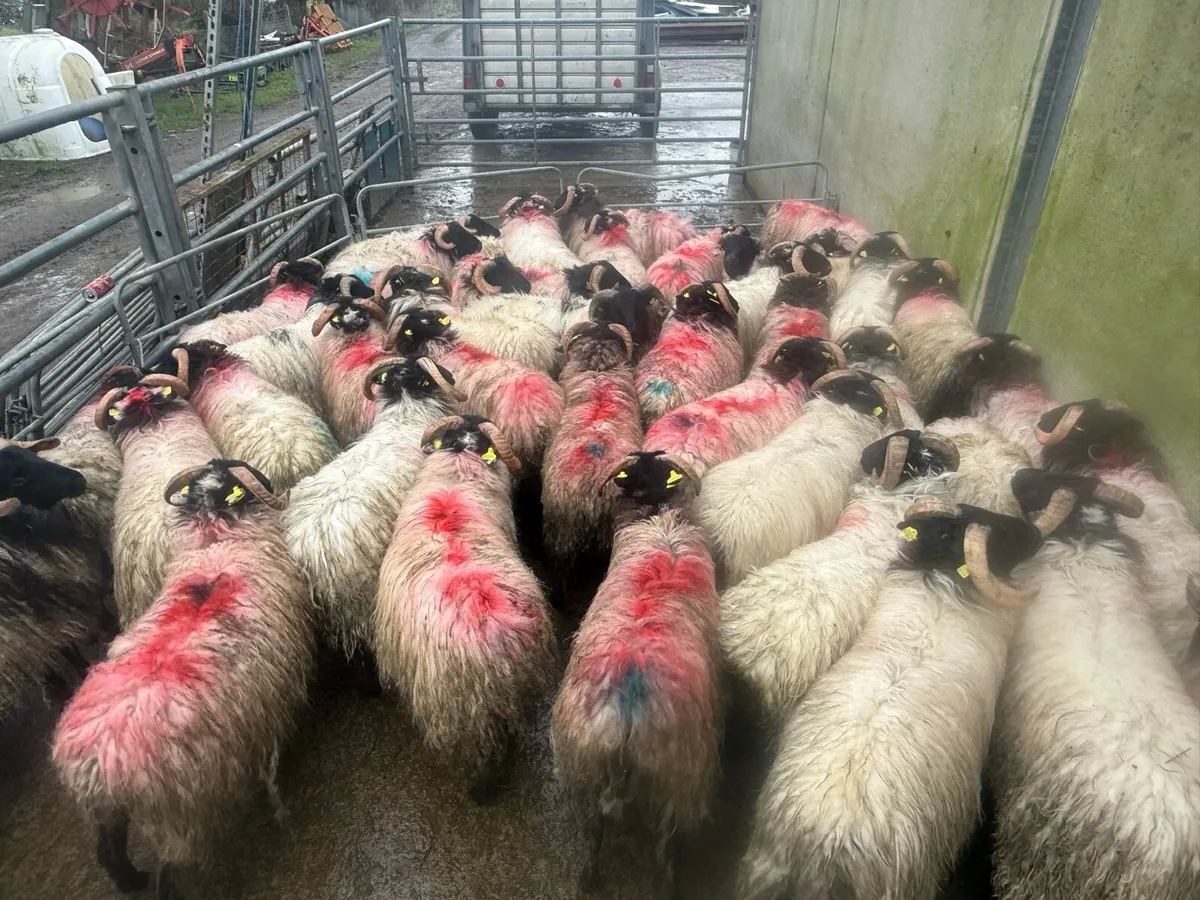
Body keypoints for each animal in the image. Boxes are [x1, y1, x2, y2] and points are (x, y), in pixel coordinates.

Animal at [52, 459, 312, 895]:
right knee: (170, 878)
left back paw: (131, 882)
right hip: (179, 819)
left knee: (108, 854)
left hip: (105, 814)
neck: (216, 544)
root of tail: (99, 765)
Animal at [551, 452, 720, 897]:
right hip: (677, 784)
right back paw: (669, 886)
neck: (659, 521)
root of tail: (625, 720)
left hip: (586, 772)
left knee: (594, 834)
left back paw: (589, 880)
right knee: (665, 851)